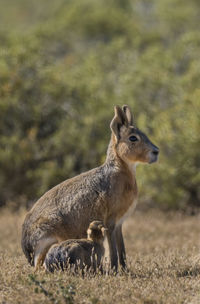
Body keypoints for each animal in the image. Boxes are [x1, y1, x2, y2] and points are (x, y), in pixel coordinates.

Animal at [21, 105, 159, 272]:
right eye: (133, 138)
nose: (156, 152)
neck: (121, 168)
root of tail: (28, 249)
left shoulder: (119, 224)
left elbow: (122, 250)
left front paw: (125, 270)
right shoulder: (110, 222)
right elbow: (113, 250)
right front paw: (115, 270)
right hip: (51, 235)